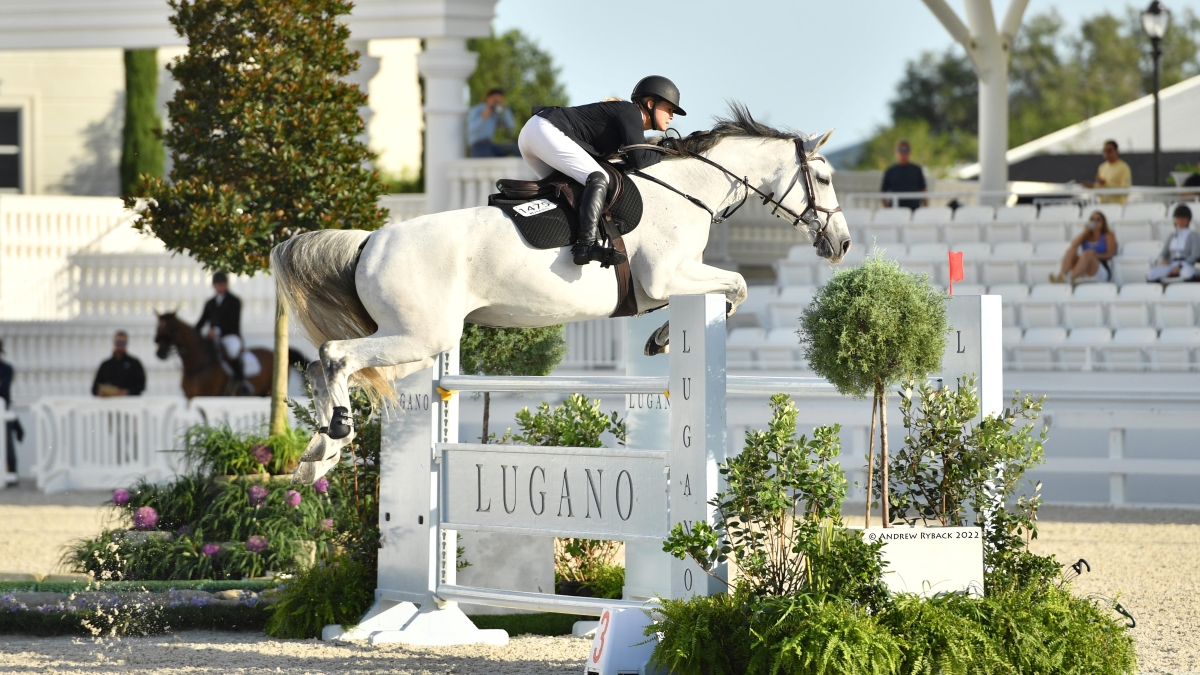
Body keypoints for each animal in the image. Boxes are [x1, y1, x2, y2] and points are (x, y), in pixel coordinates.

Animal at [272, 106, 854, 482]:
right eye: (824, 179)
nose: (842, 243)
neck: (689, 188)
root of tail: (370, 241)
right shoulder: (667, 277)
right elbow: (737, 286)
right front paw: (666, 337)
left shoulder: (666, 284)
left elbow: (729, 289)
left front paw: (661, 337)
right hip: (420, 335)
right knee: (334, 355)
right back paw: (332, 437)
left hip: (410, 342)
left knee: (323, 365)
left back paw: (319, 448)